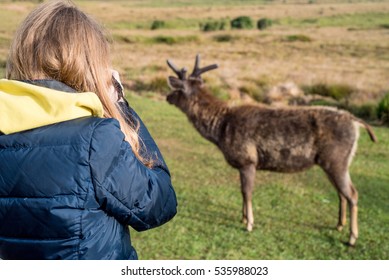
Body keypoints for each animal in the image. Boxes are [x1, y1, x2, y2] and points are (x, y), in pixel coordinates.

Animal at [166, 54, 376, 245]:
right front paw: (243, 217)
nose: (167, 97)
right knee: (341, 193)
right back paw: (339, 225)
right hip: (331, 163)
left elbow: (247, 192)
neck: (220, 129)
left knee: (352, 193)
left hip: (337, 159)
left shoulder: (248, 159)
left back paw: (352, 237)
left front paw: (249, 224)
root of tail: (356, 122)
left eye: (176, 89)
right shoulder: (244, 164)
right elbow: (242, 191)